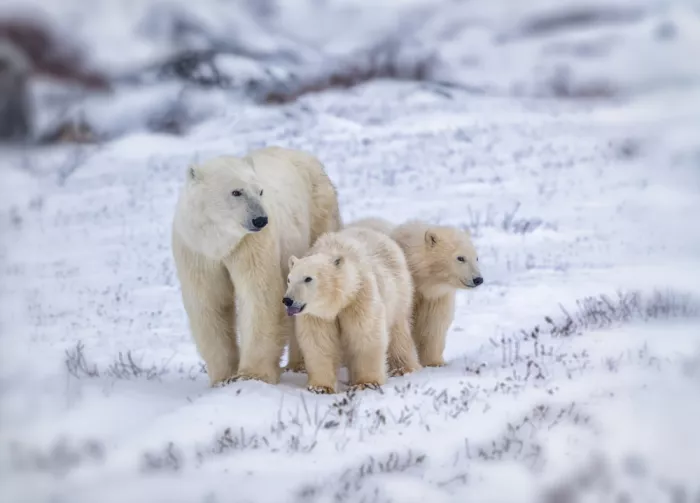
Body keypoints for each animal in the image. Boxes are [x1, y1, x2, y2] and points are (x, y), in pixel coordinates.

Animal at [171, 146, 341, 386]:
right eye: (236, 192)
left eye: (260, 191)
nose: (260, 219)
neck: (220, 242)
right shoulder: (197, 251)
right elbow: (210, 303)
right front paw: (223, 378)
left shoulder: (250, 244)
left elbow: (259, 295)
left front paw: (253, 375)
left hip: (318, 215)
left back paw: (298, 365)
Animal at [282, 226, 421, 394]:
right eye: (289, 279)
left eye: (308, 278)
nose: (287, 300)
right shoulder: (316, 315)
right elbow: (319, 342)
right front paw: (320, 387)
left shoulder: (359, 297)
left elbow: (364, 335)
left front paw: (366, 383)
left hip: (399, 293)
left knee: (398, 331)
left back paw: (403, 368)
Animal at [350, 218, 483, 367]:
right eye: (460, 258)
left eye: (476, 258)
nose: (478, 279)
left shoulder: (436, 297)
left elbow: (434, 324)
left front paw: (435, 362)